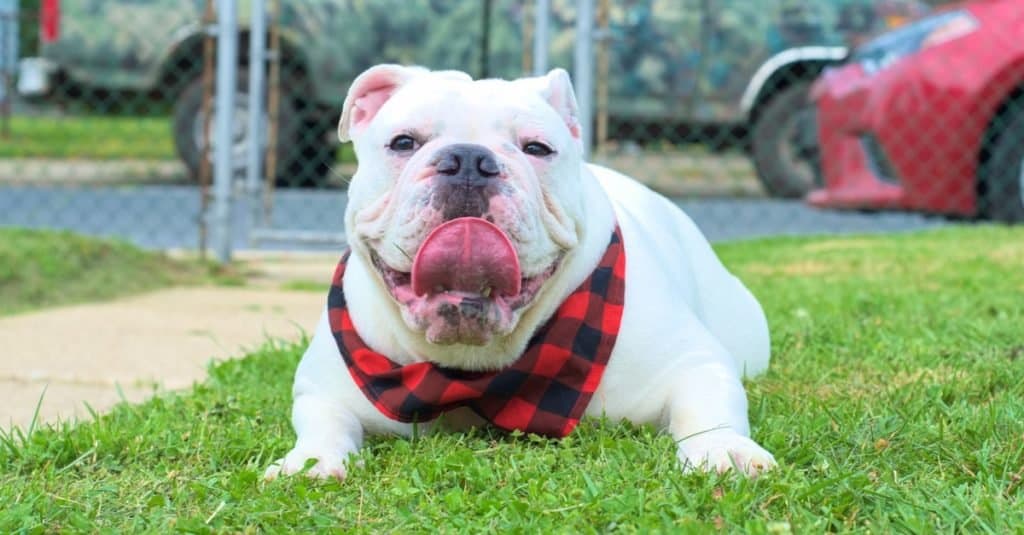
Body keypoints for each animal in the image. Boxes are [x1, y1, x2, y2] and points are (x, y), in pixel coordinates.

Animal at [264, 63, 774, 479]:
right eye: (403, 142)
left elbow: (707, 406)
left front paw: (724, 450)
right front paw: (310, 461)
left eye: (537, 148)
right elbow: (326, 422)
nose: (469, 160)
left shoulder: (694, 361)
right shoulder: (323, 388)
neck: (472, 369)